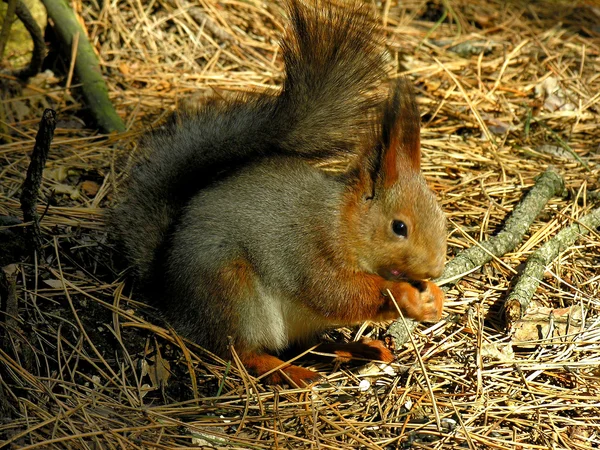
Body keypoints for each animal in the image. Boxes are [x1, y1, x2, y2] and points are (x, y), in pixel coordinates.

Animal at [113, 0, 446, 386]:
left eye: (441, 217)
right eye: (399, 227)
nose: (436, 269)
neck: (343, 220)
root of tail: (168, 293)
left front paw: (433, 298)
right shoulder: (310, 250)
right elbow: (336, 294)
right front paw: (403, 295)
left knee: (309, 344)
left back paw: (356, 349)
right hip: (232, 292)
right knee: (239, 352)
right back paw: (290, 372)